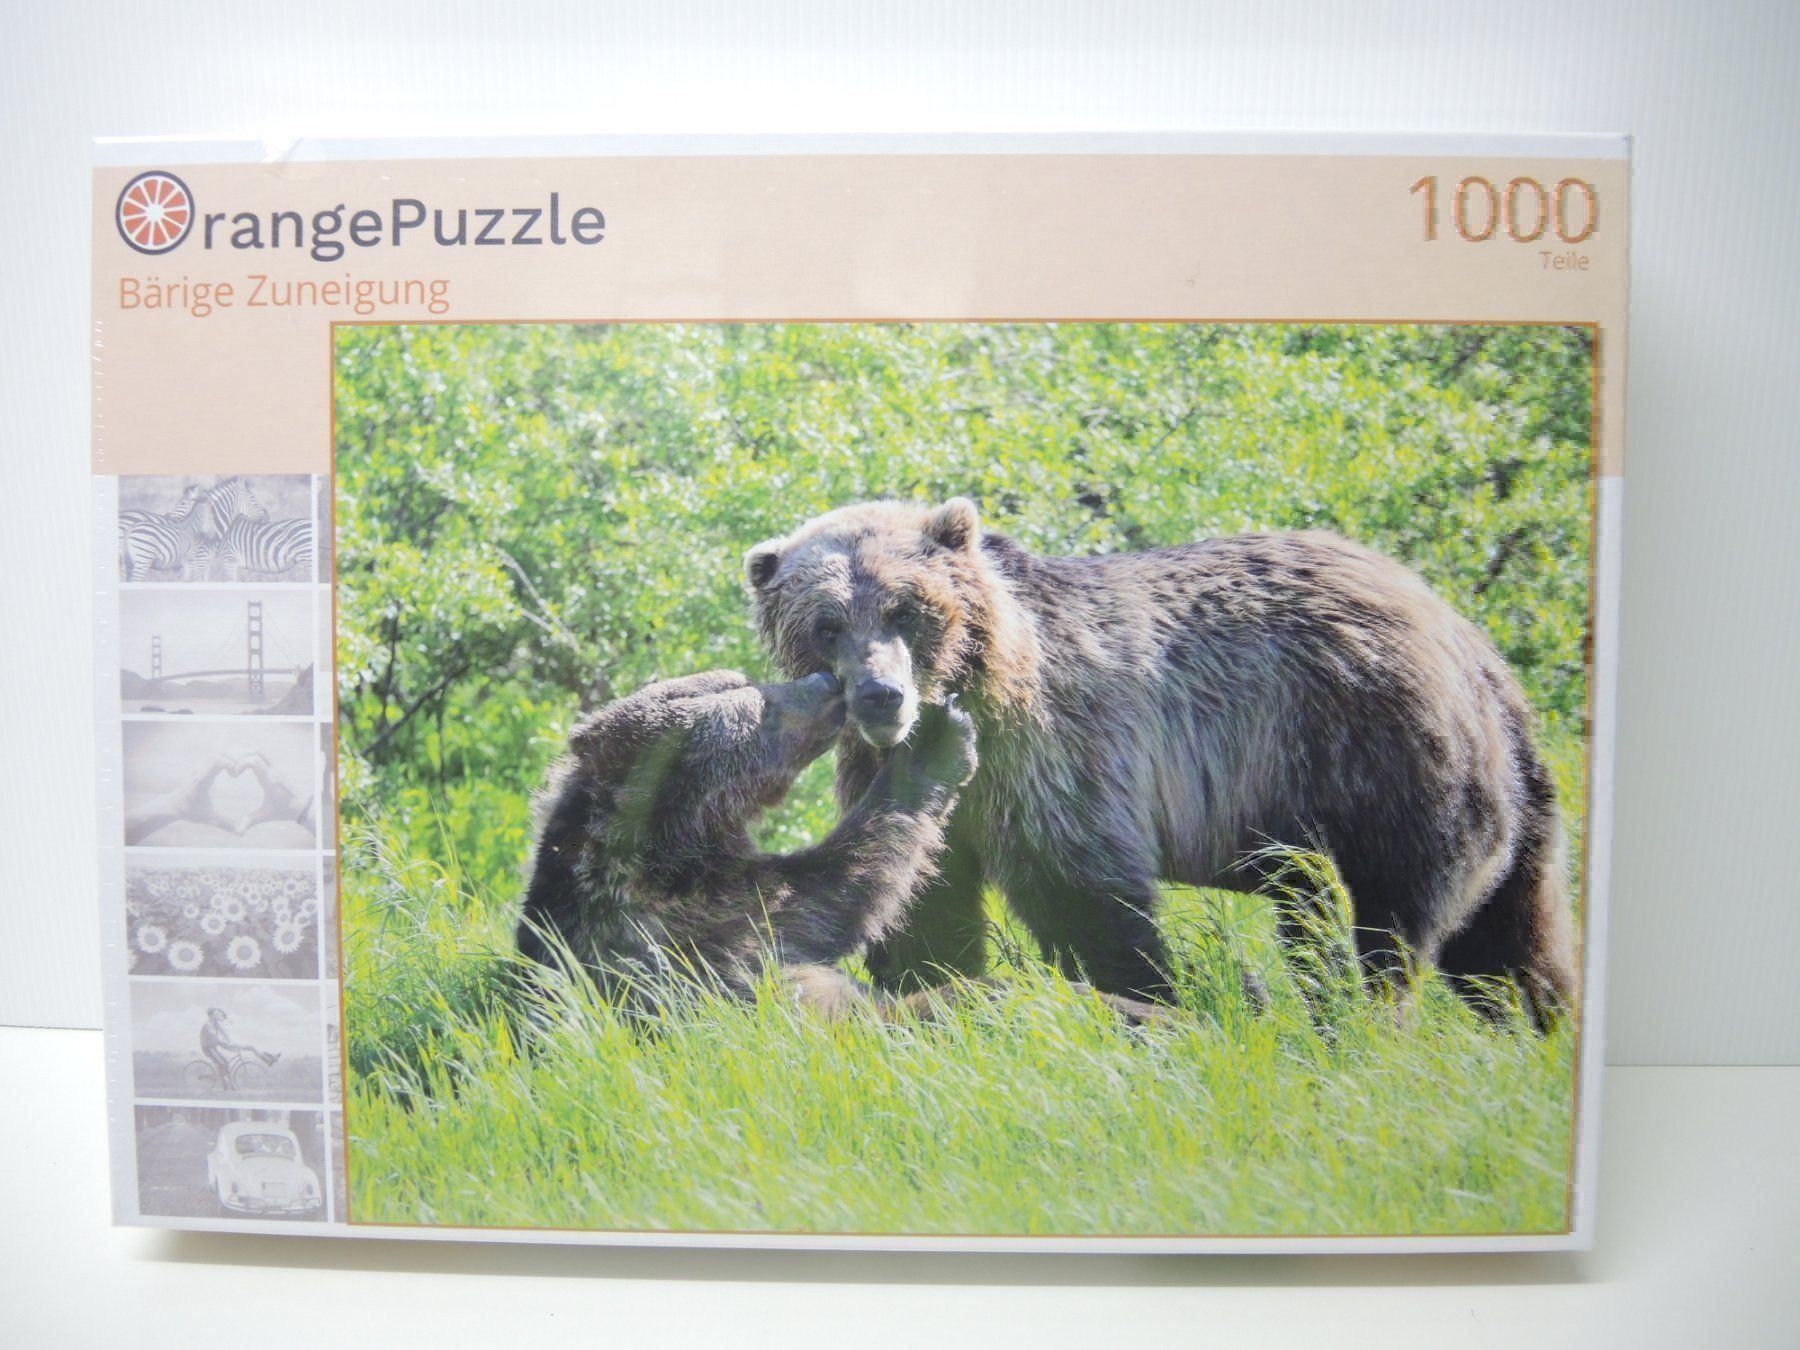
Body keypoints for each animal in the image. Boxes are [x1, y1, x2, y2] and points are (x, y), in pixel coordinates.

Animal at [515, 668, 980, 1015]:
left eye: (745, 679)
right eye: (764, 711)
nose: (825, 680)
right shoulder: (701, 917)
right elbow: (835, 888)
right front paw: (938, 738)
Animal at [744, 498, 1579, 1030]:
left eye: (905, 609)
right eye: (826, 624)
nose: (882, 695)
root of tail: (1468, 641)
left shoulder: (1054, 747)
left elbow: (1082, 890)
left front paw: (1142, 997)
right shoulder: (906, 775)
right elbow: (923, 892)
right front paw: (934, 982)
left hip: (1376, 752)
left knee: (1391, 921)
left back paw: (1358, 1016)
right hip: (1494, 801)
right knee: (1505, 936)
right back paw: (1540, 1025)